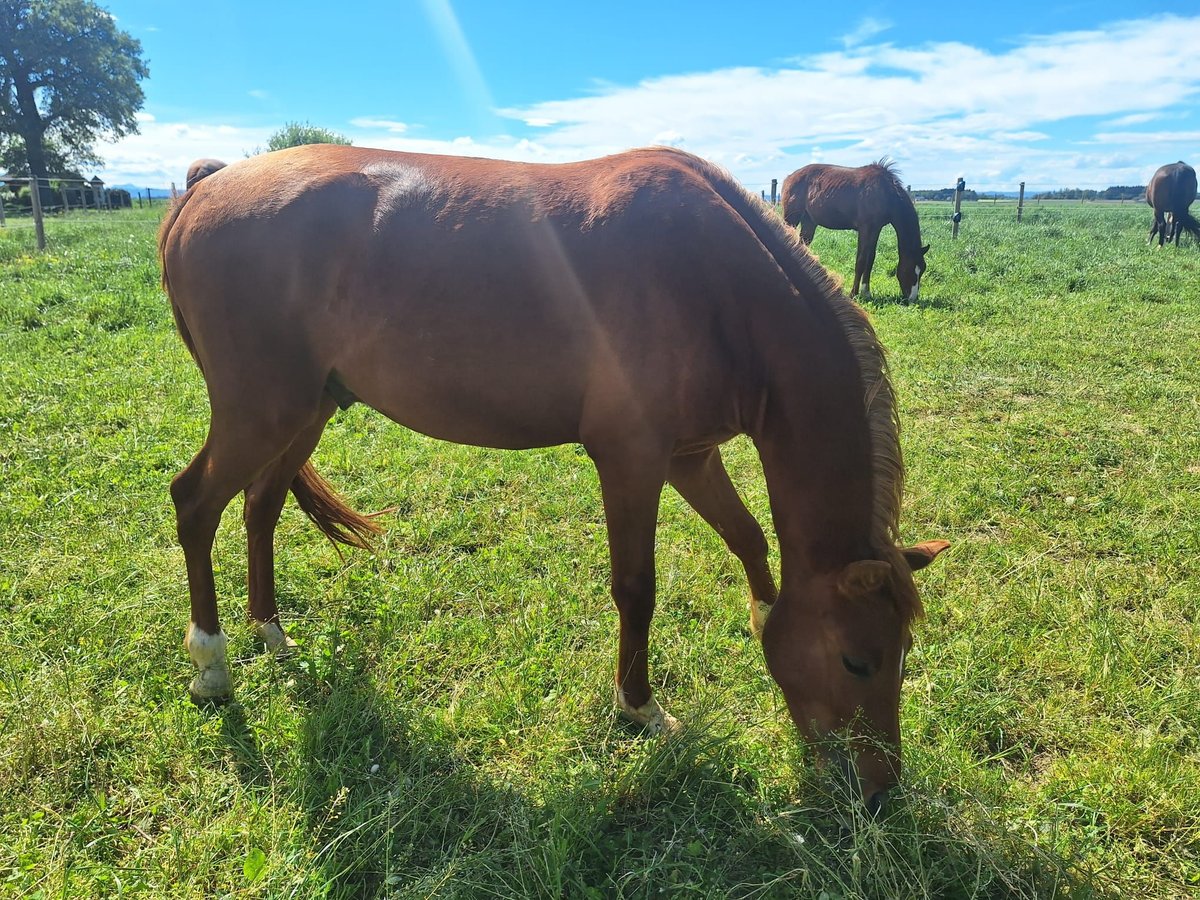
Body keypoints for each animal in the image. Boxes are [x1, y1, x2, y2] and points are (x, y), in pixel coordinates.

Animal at [782, 160, 931, 303]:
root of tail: (789, 178)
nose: (912, 298)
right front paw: (853, 293)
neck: (886, 193)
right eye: (911, 269)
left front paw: (866, 293)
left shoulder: (876, 229)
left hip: (809, 221)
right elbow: (861, 260)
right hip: (792, 218)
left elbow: (870, 259)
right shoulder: (865, 228)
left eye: (923, 269)